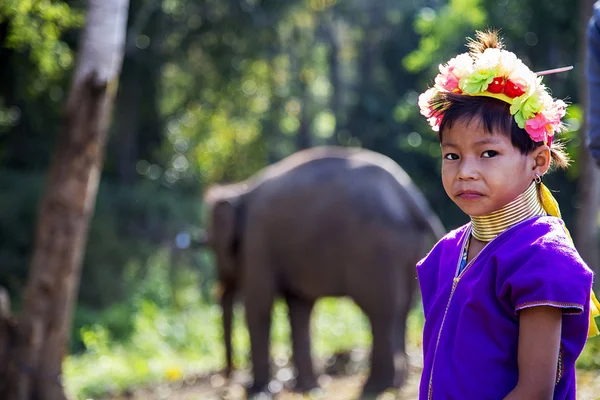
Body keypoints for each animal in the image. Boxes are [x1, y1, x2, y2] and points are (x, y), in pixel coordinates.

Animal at [204, 146, 442, 396]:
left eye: (212, 245)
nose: (226, 380)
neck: (241, 189)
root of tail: (411, 198)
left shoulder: (257, 242)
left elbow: (259, 305)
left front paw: (257, 392)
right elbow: (299, 308)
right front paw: (307, 389)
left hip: (376, 249)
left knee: (380, 309)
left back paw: (374, 387)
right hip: (409, 247)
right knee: (403, 308)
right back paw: (394, 385)